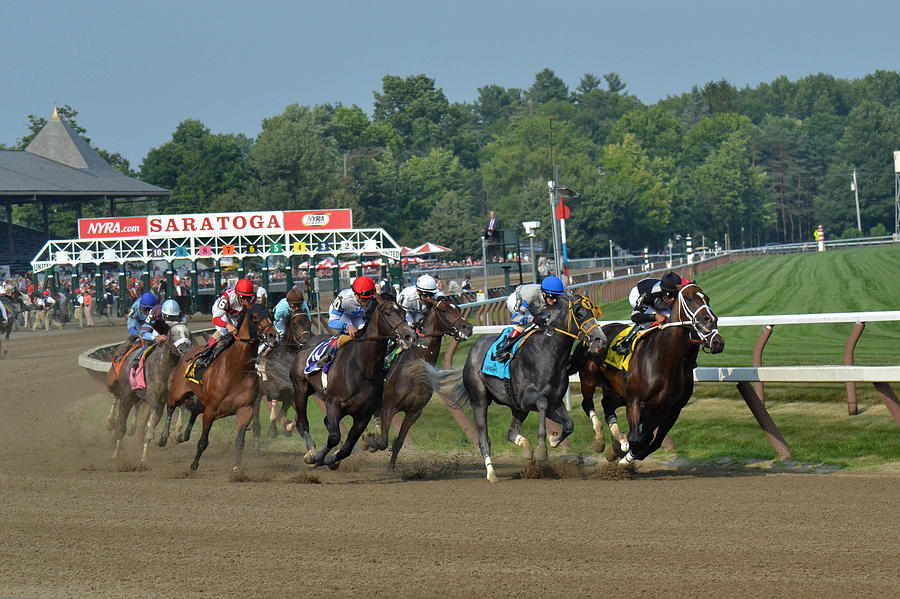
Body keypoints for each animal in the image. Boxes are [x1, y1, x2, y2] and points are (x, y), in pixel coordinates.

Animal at [160, 304, 276, 474]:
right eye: (254, 317)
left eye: (271, 315)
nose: (273, 335)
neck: (236, 369)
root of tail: (187, 352)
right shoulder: (211, 410)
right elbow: (203, 441)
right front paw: (193, 465)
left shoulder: (246, 410)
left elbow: (239, 442)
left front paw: (237, 468)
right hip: (178, 392)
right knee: (170, 407)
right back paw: (163, 437)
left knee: (195, 409)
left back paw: (183, 436)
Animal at [288, 292, 414, 472]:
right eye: (388, 313)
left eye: (404, 312)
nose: (409, 336)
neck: (362, 367)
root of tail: (306, 343)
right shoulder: (333, 403)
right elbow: (334, 437)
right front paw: (318, 458)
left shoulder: (364, 414)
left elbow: (347, 448)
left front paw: (332, 458)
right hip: (301, 389)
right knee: (302, 423)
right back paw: (311, 452)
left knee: (325, 423)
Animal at [360, 296, 474, 468]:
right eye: (444, 310)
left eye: (459, 309)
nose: (467, 327)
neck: (412, 368)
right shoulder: (389, 406)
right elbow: (383, 441)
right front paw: (368, 442)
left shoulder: (414, 411)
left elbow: (398, 442)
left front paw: (391, 469)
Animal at [428, 296, 604, 482]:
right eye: (579, 313)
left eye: (593, 311)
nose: (600, 339)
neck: (548, 353)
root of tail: (471, 353)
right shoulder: (527, 398)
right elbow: (542, 403)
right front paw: (542, 449)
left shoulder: (554, 401)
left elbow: (569, 424)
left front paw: (554, 440)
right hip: (479, 400)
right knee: (484, 439)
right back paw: (491, 473)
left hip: (517, 408)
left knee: (510, 433)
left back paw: (526, 449)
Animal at [584, 282, 724, 468]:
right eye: (689, 298)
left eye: (707, 298)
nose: (718, 341)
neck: (664, 360)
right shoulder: (635, 401)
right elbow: (638, 438)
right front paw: (624, 455)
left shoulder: (670, 409)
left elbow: (651, 440)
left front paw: (623, 453)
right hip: (590, 377)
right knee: (588, 404)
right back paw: (600, 441)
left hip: (617, 392)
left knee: (607, 405)